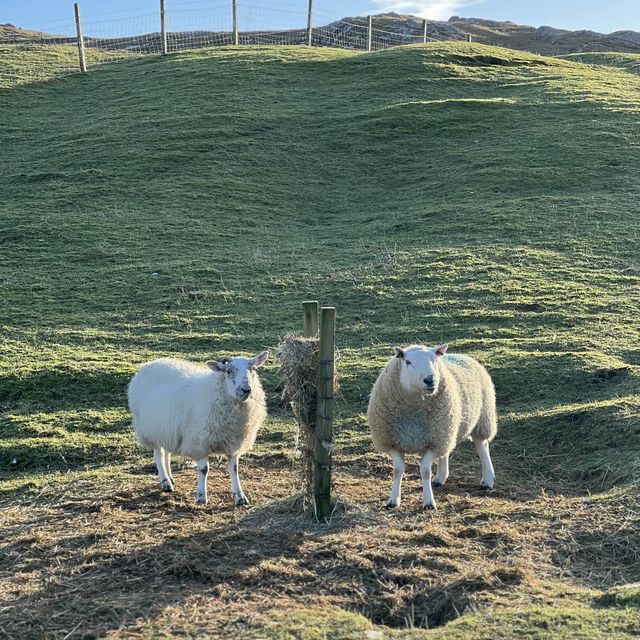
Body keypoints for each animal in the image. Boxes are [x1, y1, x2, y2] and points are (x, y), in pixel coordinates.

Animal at [127, 350, 268, 504]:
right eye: (228, 371)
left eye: (253, 369)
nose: (245, 389)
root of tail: (149, 364)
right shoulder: (199, 443)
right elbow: (204, 470)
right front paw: (201, 496)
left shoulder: (233, 443)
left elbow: (234, 470)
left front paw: (240, 496)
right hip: (152, 430)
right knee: (159, 456)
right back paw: (165, 482)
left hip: (168, 430)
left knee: (167, 454)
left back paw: (170, 477)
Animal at [368, 344, 498, 510]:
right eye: (408, 362)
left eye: (434, 360)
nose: (430, 380)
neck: (414, 405)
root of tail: (464, 355)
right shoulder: (392, 442)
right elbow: (398, 470)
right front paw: (393, 500)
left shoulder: (433, 443)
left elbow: (425, 471)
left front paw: (429, 502)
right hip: (447, 429)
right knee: (445, 452)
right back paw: (440, 478)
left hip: (482, 419)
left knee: (482, 447)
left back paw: (487, 480)